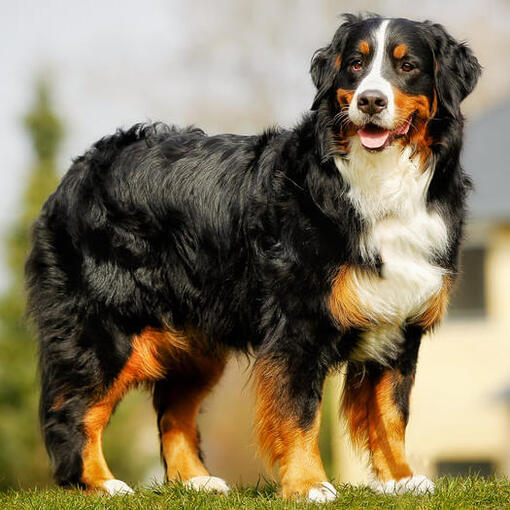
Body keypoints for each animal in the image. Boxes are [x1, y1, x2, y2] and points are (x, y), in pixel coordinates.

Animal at [25, 13, 480, 504]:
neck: (378, 183)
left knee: (173, 410)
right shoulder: (298, 326)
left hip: (196, 340)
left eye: (408, 65)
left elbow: (392, 413)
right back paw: (100, 483)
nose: (371, 101)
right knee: (74, 410)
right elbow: (300, 412)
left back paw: (196, 481)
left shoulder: (399, 323)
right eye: (356, 65)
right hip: (106, 327)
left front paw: (401, 480)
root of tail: (79, 169)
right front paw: (309, 485)